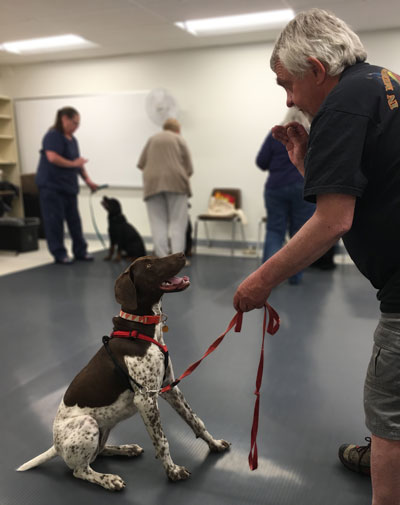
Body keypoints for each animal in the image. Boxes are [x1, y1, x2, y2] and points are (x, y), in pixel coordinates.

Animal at [18, 252, 228, 488]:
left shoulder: (170, 388)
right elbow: (162, 441)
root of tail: (55, 446)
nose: (182, 254)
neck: (140, 329)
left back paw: (126, 449)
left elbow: (196, 421)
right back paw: (108, 479)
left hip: (104, 429)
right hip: (88, 423)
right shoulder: (146, 399)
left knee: (98, 452)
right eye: (149, 265)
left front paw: (214, 444)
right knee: (80, 470)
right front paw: (173, 471)